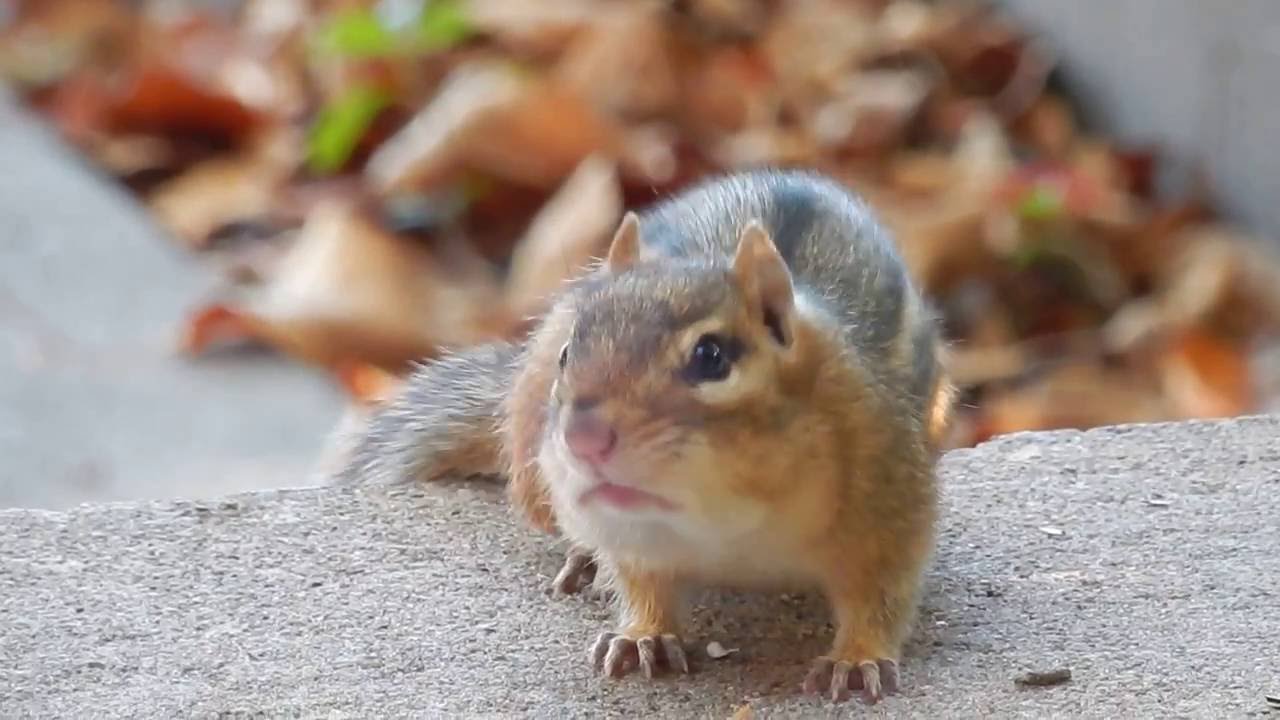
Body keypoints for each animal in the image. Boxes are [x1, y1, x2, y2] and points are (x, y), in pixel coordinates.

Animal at [334, 168, 955, 705]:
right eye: (568, 353)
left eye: (711, 357)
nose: (584, 438)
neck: (731, 522)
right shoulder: (630, 536)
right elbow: (640, 580)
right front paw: (643, 635)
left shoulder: (889, 500)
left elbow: (882, 592)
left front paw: (858, 657)